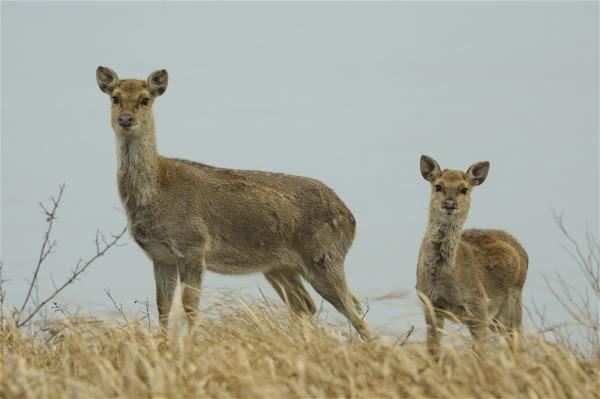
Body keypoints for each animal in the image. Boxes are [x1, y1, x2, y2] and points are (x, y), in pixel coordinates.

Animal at [96, 67, 368, 340]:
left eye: (145, 99)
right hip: (280, 267)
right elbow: (163, 308)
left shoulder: (193, 245)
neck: (156, 192)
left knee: (354, 311)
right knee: (309, 305)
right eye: (115, 98)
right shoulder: (160, 256)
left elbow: (190, 307)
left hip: (324, 256)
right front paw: (164, 345)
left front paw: (192, 343)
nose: (126, 119)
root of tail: (351, 218)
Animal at [414, 155, 528, 356]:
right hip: (497, 318)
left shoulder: (479, 305)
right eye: (439, 186)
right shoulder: (429, 304)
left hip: (512, 304)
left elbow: (479, 353)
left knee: (517, 341)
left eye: (463, 189)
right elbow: (433, 351)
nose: (449, 203)